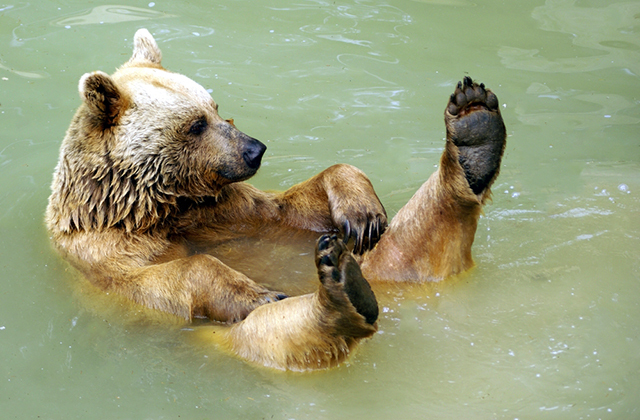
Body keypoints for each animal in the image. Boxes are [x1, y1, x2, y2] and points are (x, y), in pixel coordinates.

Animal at [45, 28, 504, 370]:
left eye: (215, 106)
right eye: (195, 124)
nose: (255, 150)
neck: (160, 206)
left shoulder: (231, 211)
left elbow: (292, 207)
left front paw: (361, 213)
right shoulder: (106, 255)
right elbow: (172, 275)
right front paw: (259, 292)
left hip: (388, 259)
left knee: (414, 239)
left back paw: (474, 129)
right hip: (226, 340)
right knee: (270, 335)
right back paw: (342, 292)